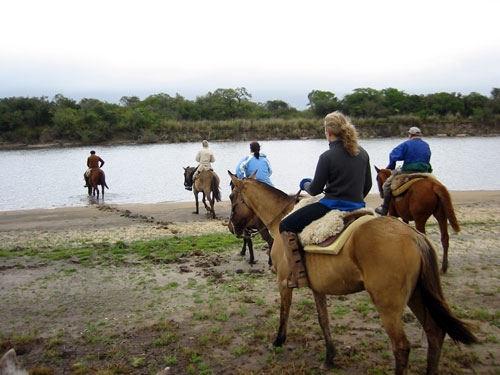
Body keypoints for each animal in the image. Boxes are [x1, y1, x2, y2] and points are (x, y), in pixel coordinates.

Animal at [228, 172, 476, 374]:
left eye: (231, 197)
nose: (231, 226)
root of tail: (414, 235)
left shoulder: (283, 282)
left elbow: (284, 312)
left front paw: (278, 341)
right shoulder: (318, 288)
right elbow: (323, 320)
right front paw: (330, 357)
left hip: (389, 304)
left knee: (402, 347)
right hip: (417, 295)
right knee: (435, 332)